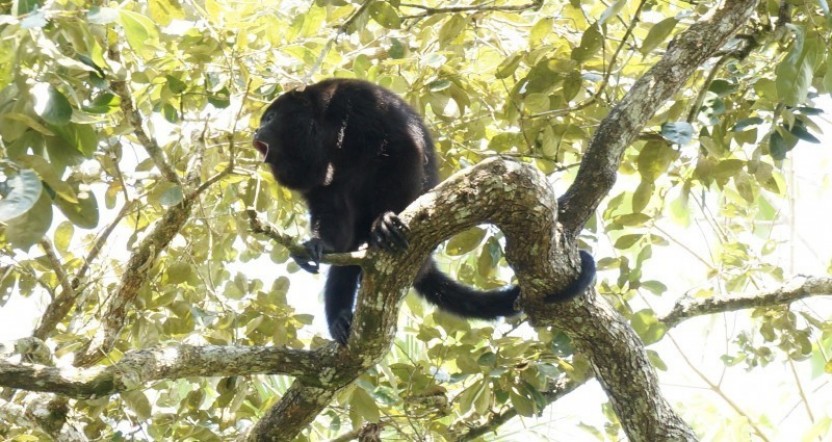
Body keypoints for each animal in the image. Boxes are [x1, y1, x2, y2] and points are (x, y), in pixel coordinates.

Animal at [252, 78, 596, 345]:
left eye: (270, 118)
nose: (255, 132)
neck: (324, 129)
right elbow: (329, 208)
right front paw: (316, 244)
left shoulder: (359, 104)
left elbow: (402, 151)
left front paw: (385, 220)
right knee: (347, 258)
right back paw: (340, 317)